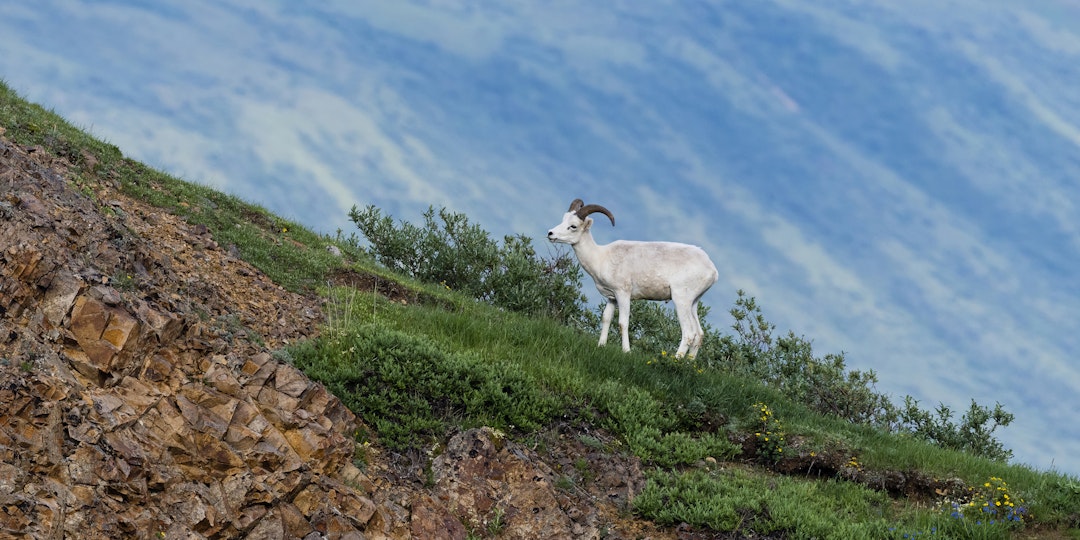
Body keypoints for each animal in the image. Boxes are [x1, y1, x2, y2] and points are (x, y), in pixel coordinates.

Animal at [548, 198, 717, 358]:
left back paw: (675, 360)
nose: (550, 233)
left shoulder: (623, 294)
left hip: (681, 299)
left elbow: (623, 323)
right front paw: (601, 345)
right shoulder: (612, 297)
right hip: (693, 303)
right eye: (563, 219)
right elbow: (606, 318)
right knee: (699, 334)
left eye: (573, 226)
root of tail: (712, 270)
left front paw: (626, 351)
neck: (601, 257)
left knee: (689, 333)